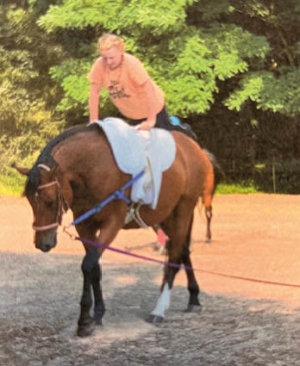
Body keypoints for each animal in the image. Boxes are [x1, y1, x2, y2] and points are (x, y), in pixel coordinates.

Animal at [12, 122, 219, 338]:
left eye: (50, 201)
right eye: (30, 201)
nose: (42, 243)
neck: (94, 167)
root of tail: (195, 147)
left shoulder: (112, 223)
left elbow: (88, 264)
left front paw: (84, 321)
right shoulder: (85, 225)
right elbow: (95, 266)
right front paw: (98, 313)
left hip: (183, 210)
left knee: (175, 257)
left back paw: (159, 309)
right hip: (170, 215)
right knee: (183, 250)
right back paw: (193, 298)